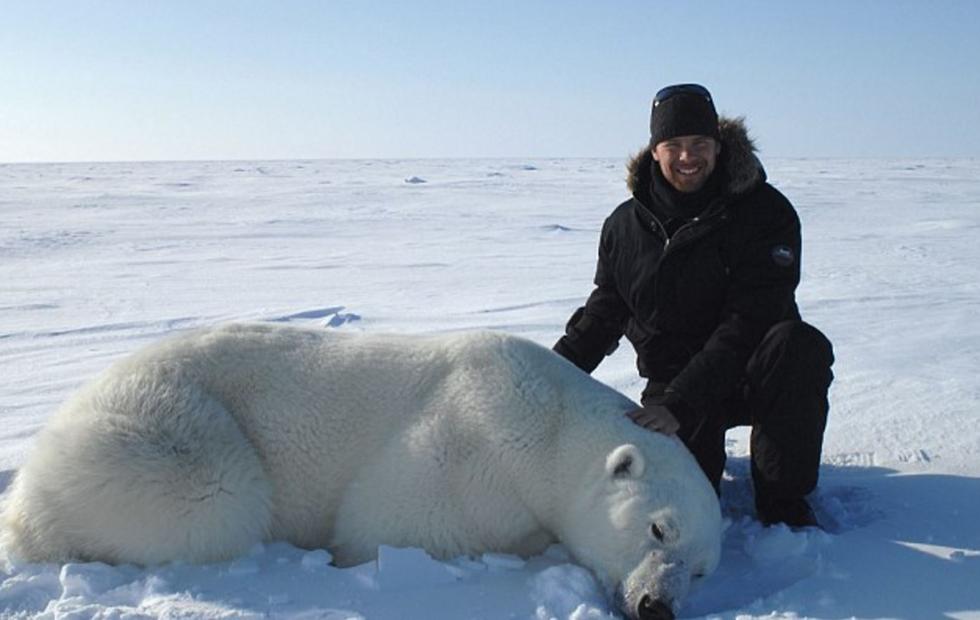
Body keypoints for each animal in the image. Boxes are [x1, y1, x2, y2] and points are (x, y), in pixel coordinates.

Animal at [0, 324, 720, 620]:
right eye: (658, 529)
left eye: (703, 569)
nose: (657, 606)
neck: (552, 424)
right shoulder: (472, 448)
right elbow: (389, 525)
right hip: (166, 432)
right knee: (217, 496)